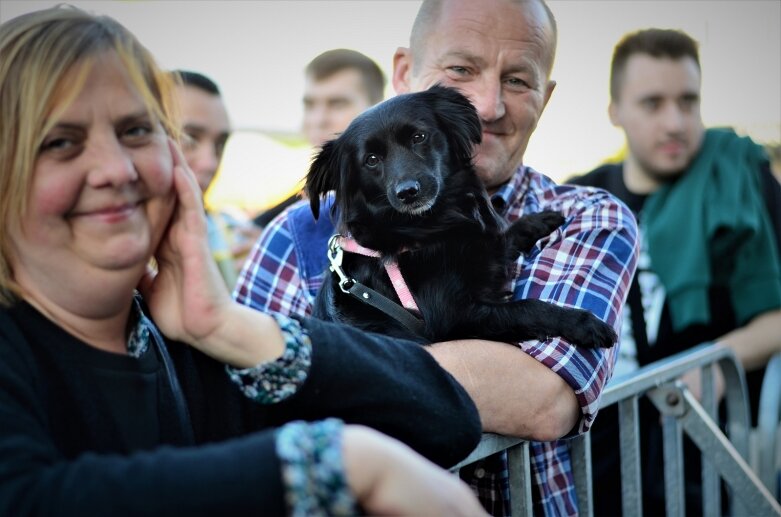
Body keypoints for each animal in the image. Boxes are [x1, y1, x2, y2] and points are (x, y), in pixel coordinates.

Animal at [304, 84, 616, 346]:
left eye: (418, 137)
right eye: (371, 160)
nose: (408, 192)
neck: (429, 227)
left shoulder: (479, 250)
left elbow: (499, 239)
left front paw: (536, 221)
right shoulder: (452, 319)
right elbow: (525, 307)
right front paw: (580, 322)